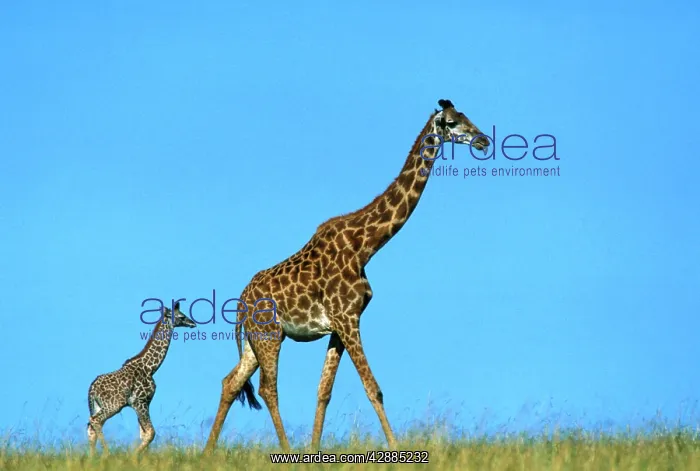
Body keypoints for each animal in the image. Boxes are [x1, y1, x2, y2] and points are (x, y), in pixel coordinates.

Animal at [86, 301, 197, 456]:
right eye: (181, 316)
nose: (193, 323)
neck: (150, 367)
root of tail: (92, 388)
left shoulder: (143, 403)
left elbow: (144, 434)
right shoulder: (140, 401)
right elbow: (150, 433)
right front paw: (133, 455)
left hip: (97, 405)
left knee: (91, 426)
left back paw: (92, 457)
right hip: (114, 405)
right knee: (95, 421)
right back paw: (107, 454)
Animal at [203, 99, 489, 452]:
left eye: (467, 116)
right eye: (450, 122)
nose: (483, 140)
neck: (365, 245)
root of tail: (241, 302)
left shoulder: (339, 325)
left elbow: (323, 391)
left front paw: (314, 450)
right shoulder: (348, 318)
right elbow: (373, 388)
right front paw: (396, 448)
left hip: (258, 340)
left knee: (231, 382)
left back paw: (208, 452)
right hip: (269, 335)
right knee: (268, 388)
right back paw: (284, 449)